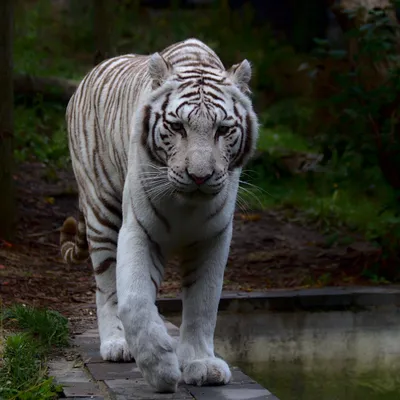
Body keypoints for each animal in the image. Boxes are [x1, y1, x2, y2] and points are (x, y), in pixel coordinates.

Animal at [59, 39, 260, 392]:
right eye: (177, 126)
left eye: (223, 130)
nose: (199, 176)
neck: (188, 206)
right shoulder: (139, 229)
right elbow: (135, 301)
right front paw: (160, 368)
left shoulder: (214, 238)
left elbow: (203, 303)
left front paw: (201, 364)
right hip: (102, 212)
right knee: (107, 286)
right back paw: (117, 344)